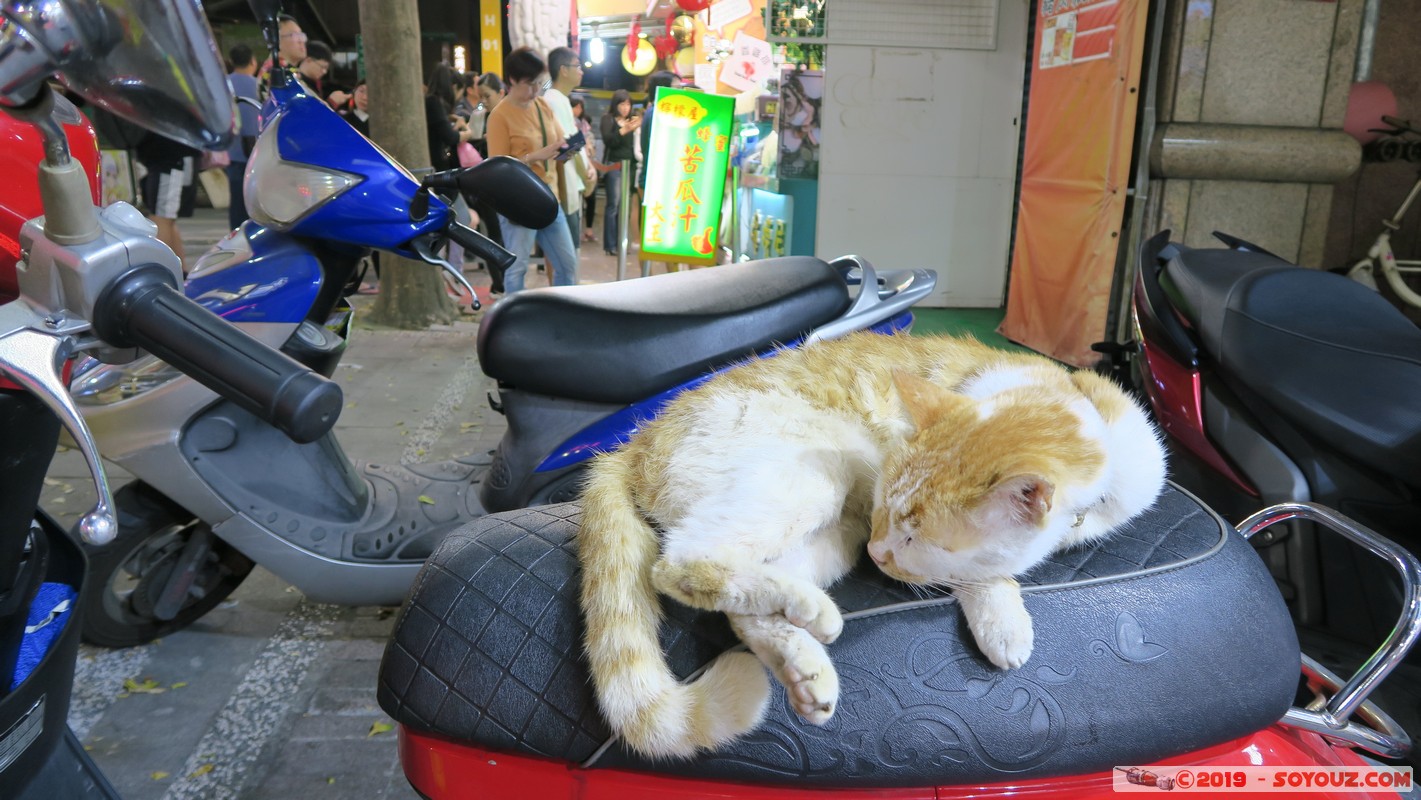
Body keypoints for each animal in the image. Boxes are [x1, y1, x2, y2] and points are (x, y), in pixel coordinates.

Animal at [576, 329, 1165, 755]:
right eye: (888, 508)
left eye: (913, 536)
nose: (879, 554)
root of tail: (631, 445)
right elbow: (985, 573)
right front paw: (1003, 619)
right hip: (819, 474)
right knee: (681, 561)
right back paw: (810, 610)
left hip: (837, 531)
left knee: (740, 608)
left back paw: (804, 666)